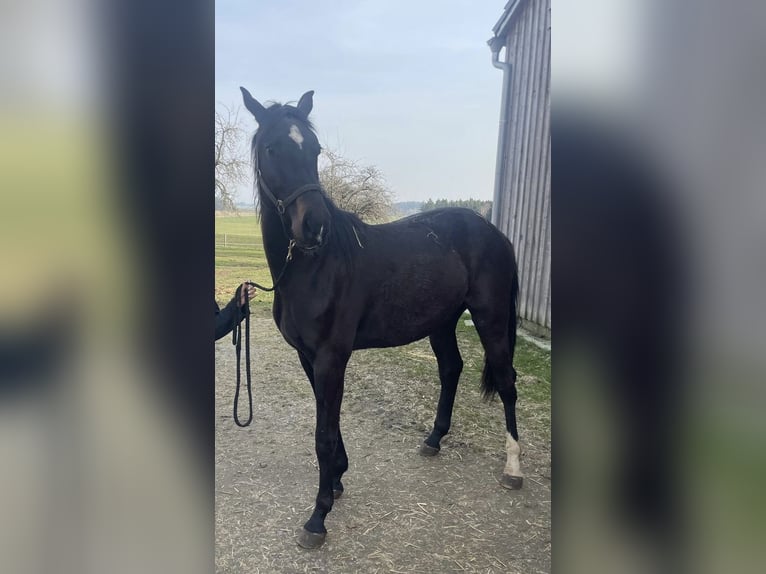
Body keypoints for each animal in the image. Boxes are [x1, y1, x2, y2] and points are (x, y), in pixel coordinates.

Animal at [240, 87, 523, 549]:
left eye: (314, 149)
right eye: (271, 149)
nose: (314, 226)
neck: (316, 267)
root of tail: (493, 231)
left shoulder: (331, 358)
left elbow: (323, 433)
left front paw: (318, 517)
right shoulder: (308, 357)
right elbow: (328, 423)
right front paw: (337, 479)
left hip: (492, 317)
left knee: (506, 380)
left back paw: (513, 469)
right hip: (442, 322)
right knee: (451, 369)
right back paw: (433, 440)